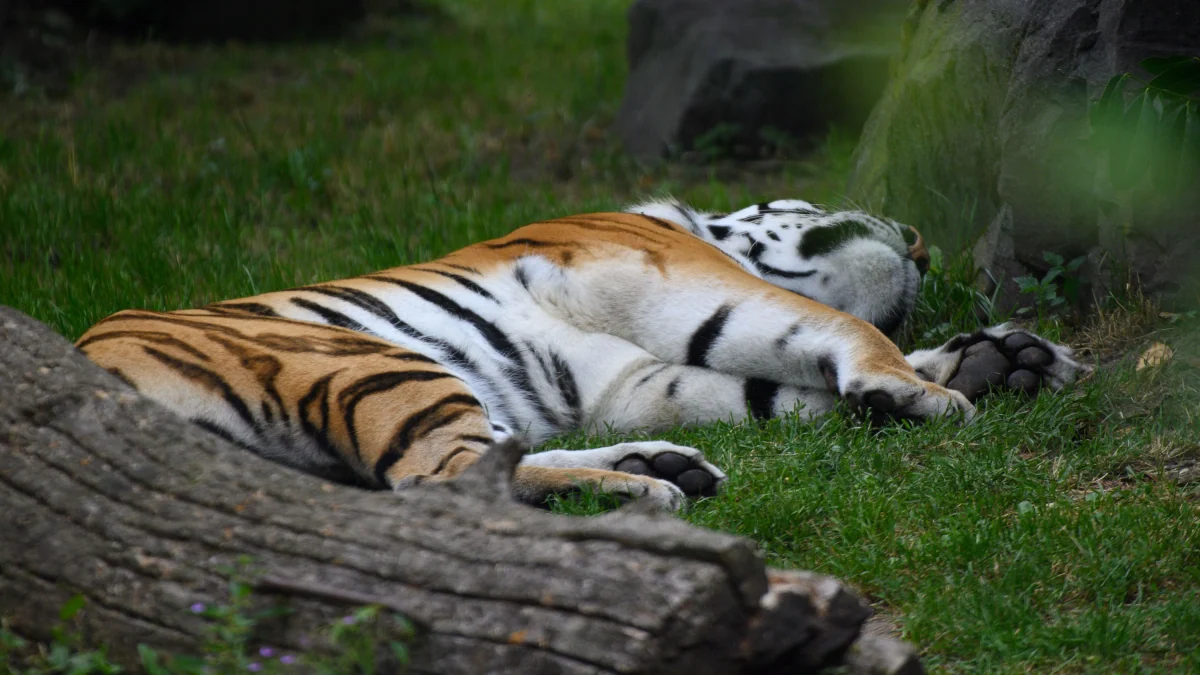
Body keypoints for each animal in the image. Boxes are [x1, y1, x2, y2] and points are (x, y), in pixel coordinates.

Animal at [76, 199, 1087, 510]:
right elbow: (840, 331)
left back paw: (657, 469)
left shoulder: (636, 378)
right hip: (365, 358)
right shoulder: (678, 276)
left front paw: (1006, 360)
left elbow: (781, 386)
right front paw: (926, 390)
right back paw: (644, 490)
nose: (920, 243)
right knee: (442, 483)